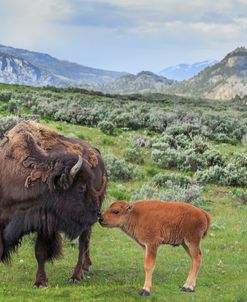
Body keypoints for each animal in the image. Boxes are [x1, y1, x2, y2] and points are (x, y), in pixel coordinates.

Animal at [0, 119, 106, 286]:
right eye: (81, 187)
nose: (97, 214)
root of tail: (97, 153)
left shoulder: (44, 223)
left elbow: (40, 252)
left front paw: (40, 282)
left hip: (83, 223)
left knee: (83, 242)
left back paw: (76, 276)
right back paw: (86, 266)